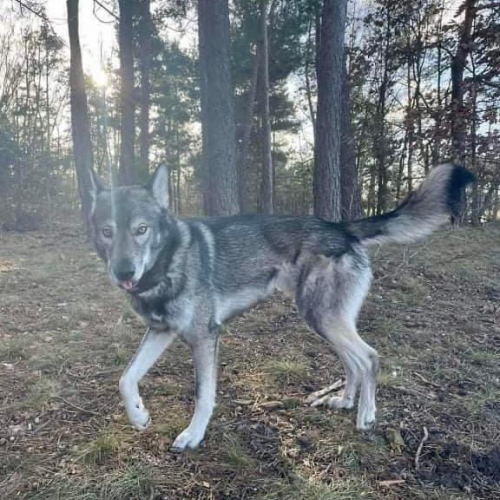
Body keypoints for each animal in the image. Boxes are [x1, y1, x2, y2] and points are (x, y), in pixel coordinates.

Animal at [88, 163, 474, 450]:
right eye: (107, 232)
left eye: (141, 229)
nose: (124, 272)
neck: (167, 263)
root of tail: (339, 227)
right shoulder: (160, 331)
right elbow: (126, 378)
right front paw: (138, 415)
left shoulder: (204, 337)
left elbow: (203, 395)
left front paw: (193, 435)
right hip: (322, 320)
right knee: (354, 363)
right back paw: (345, 401)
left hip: (322, 317)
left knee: (369, 358)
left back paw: (365, 416)